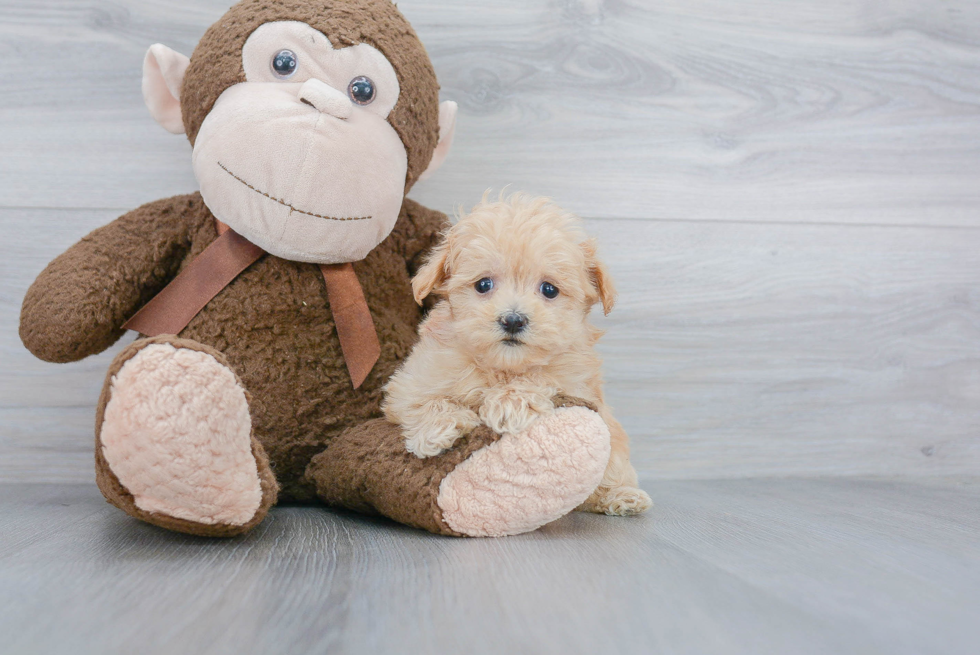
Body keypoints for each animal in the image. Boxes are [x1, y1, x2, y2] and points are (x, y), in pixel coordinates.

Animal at [382, 192, 652, 516]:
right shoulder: (411, 380)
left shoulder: (576, 381)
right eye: (483, 284)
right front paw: (440, 427)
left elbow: (542, 375)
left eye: (549, 289)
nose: (513, 320)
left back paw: (622, 497)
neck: (501, 367)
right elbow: (421, 401)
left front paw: (510, 404)